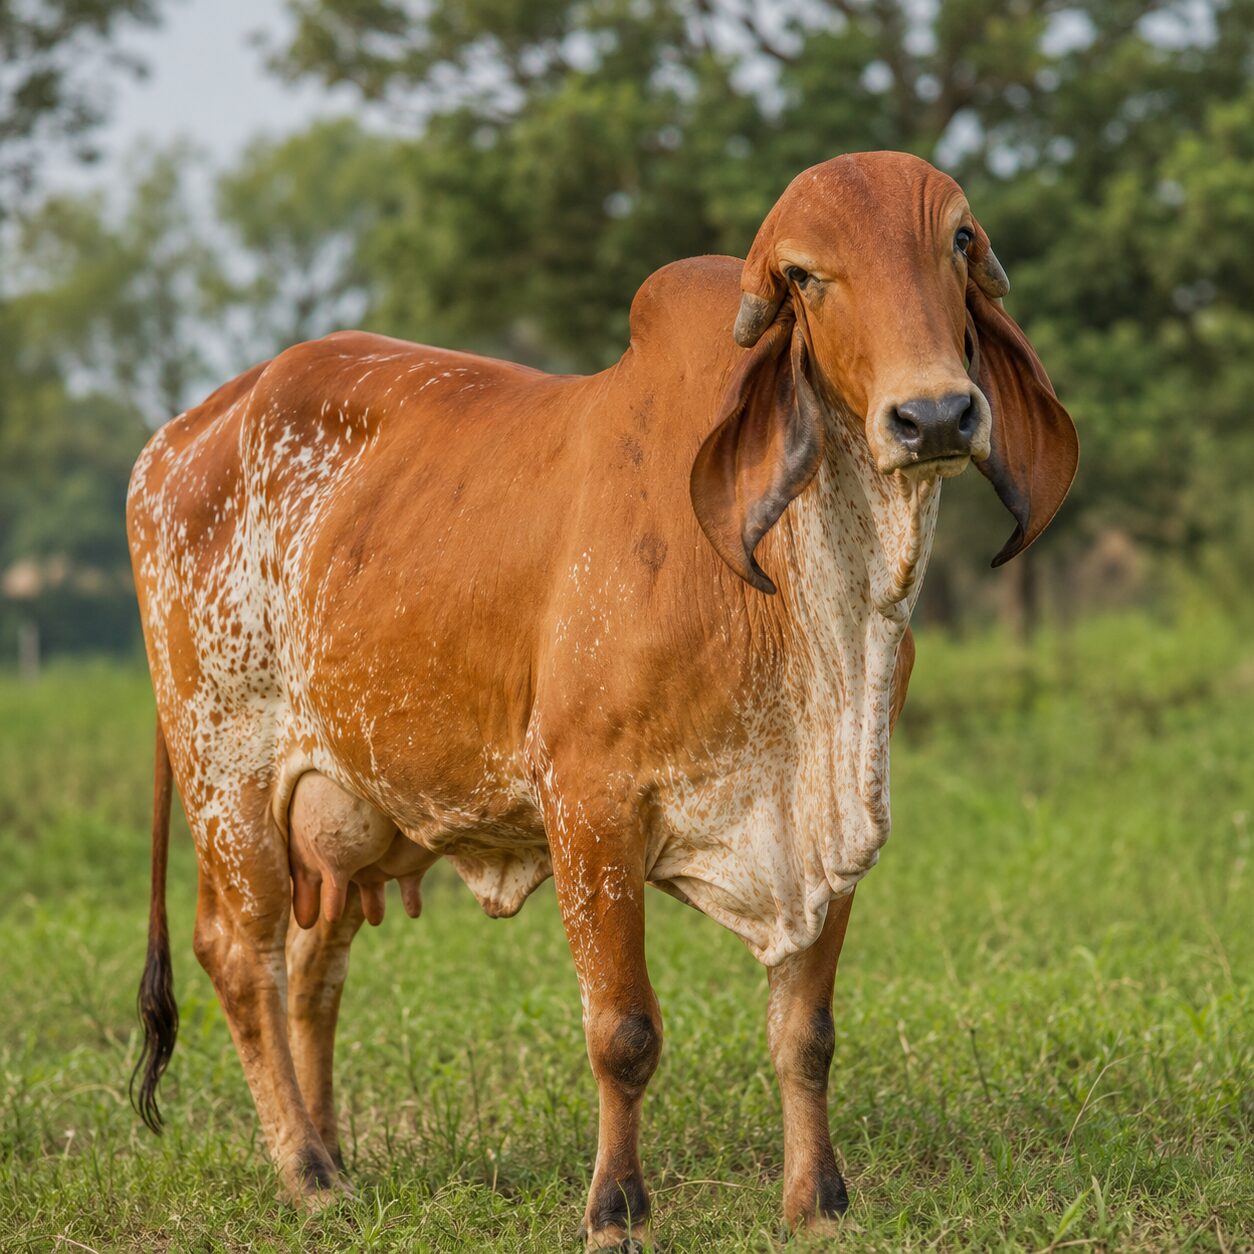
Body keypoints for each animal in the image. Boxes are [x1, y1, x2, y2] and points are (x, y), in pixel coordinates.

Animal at [126, 150, 1077, 1249]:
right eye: (804, 275)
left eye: (958, 241)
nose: (934, 417)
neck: (808, 606)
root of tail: (179, 435)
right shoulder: (590, 806)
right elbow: (623, 1032)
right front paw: (616, 1206)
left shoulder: (834, 816)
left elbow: (806, 1032)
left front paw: (819, 1200)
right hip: (225, 773)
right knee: (245, 956)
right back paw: (307, 1170)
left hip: (346, 808)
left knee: (317, 971)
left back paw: (335, 1152)